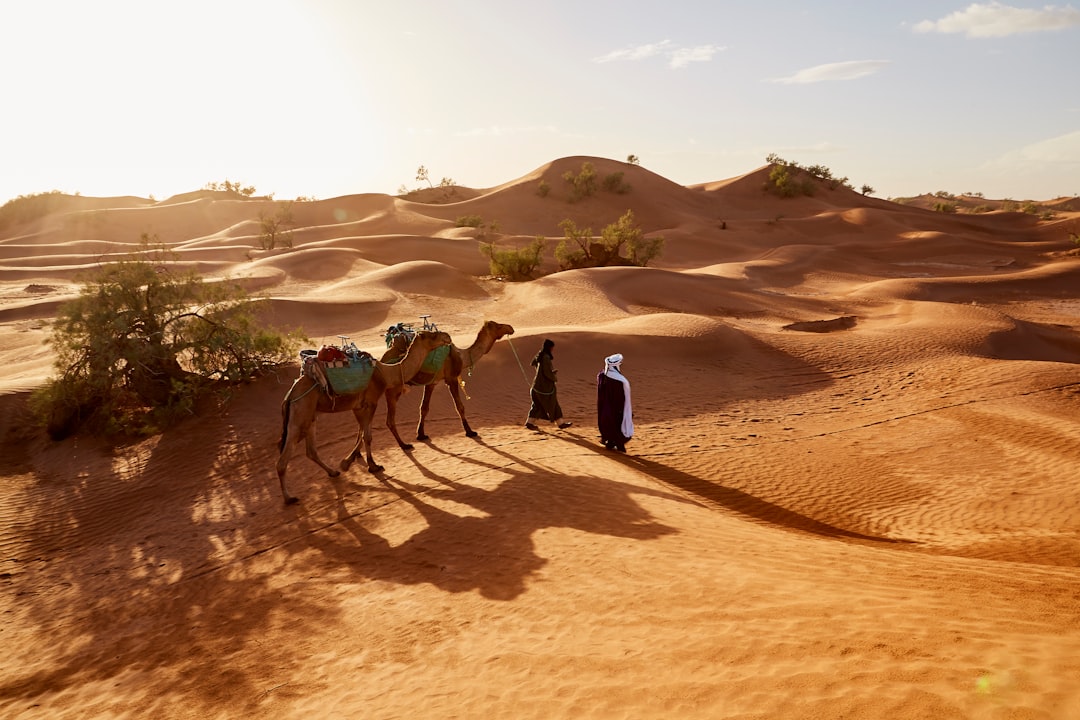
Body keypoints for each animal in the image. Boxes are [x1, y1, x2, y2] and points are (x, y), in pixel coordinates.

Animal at [278, 330, 451, 505]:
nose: (447, 337)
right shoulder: (370, 402)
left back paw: (333, 472)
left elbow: (361, 432)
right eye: (431, 335)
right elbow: (367, 436)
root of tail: (290, 395)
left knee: (311, 451)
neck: (386, 373)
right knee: (283, 459)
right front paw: (373, 466)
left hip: (311, 416)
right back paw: (289, 497)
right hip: (300, 414)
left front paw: (348, 462)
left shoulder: (358, 406)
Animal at [380, 321, 514, 451]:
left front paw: (421, 434)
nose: (511, 328)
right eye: (498, 325)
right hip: (393, 389)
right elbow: (460, 407)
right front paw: (470, 432)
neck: (462, 356)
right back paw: (404, 445)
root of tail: (383, 359)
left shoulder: (432, 383)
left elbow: (424, 408)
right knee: (390, 420)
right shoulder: (451, 378)